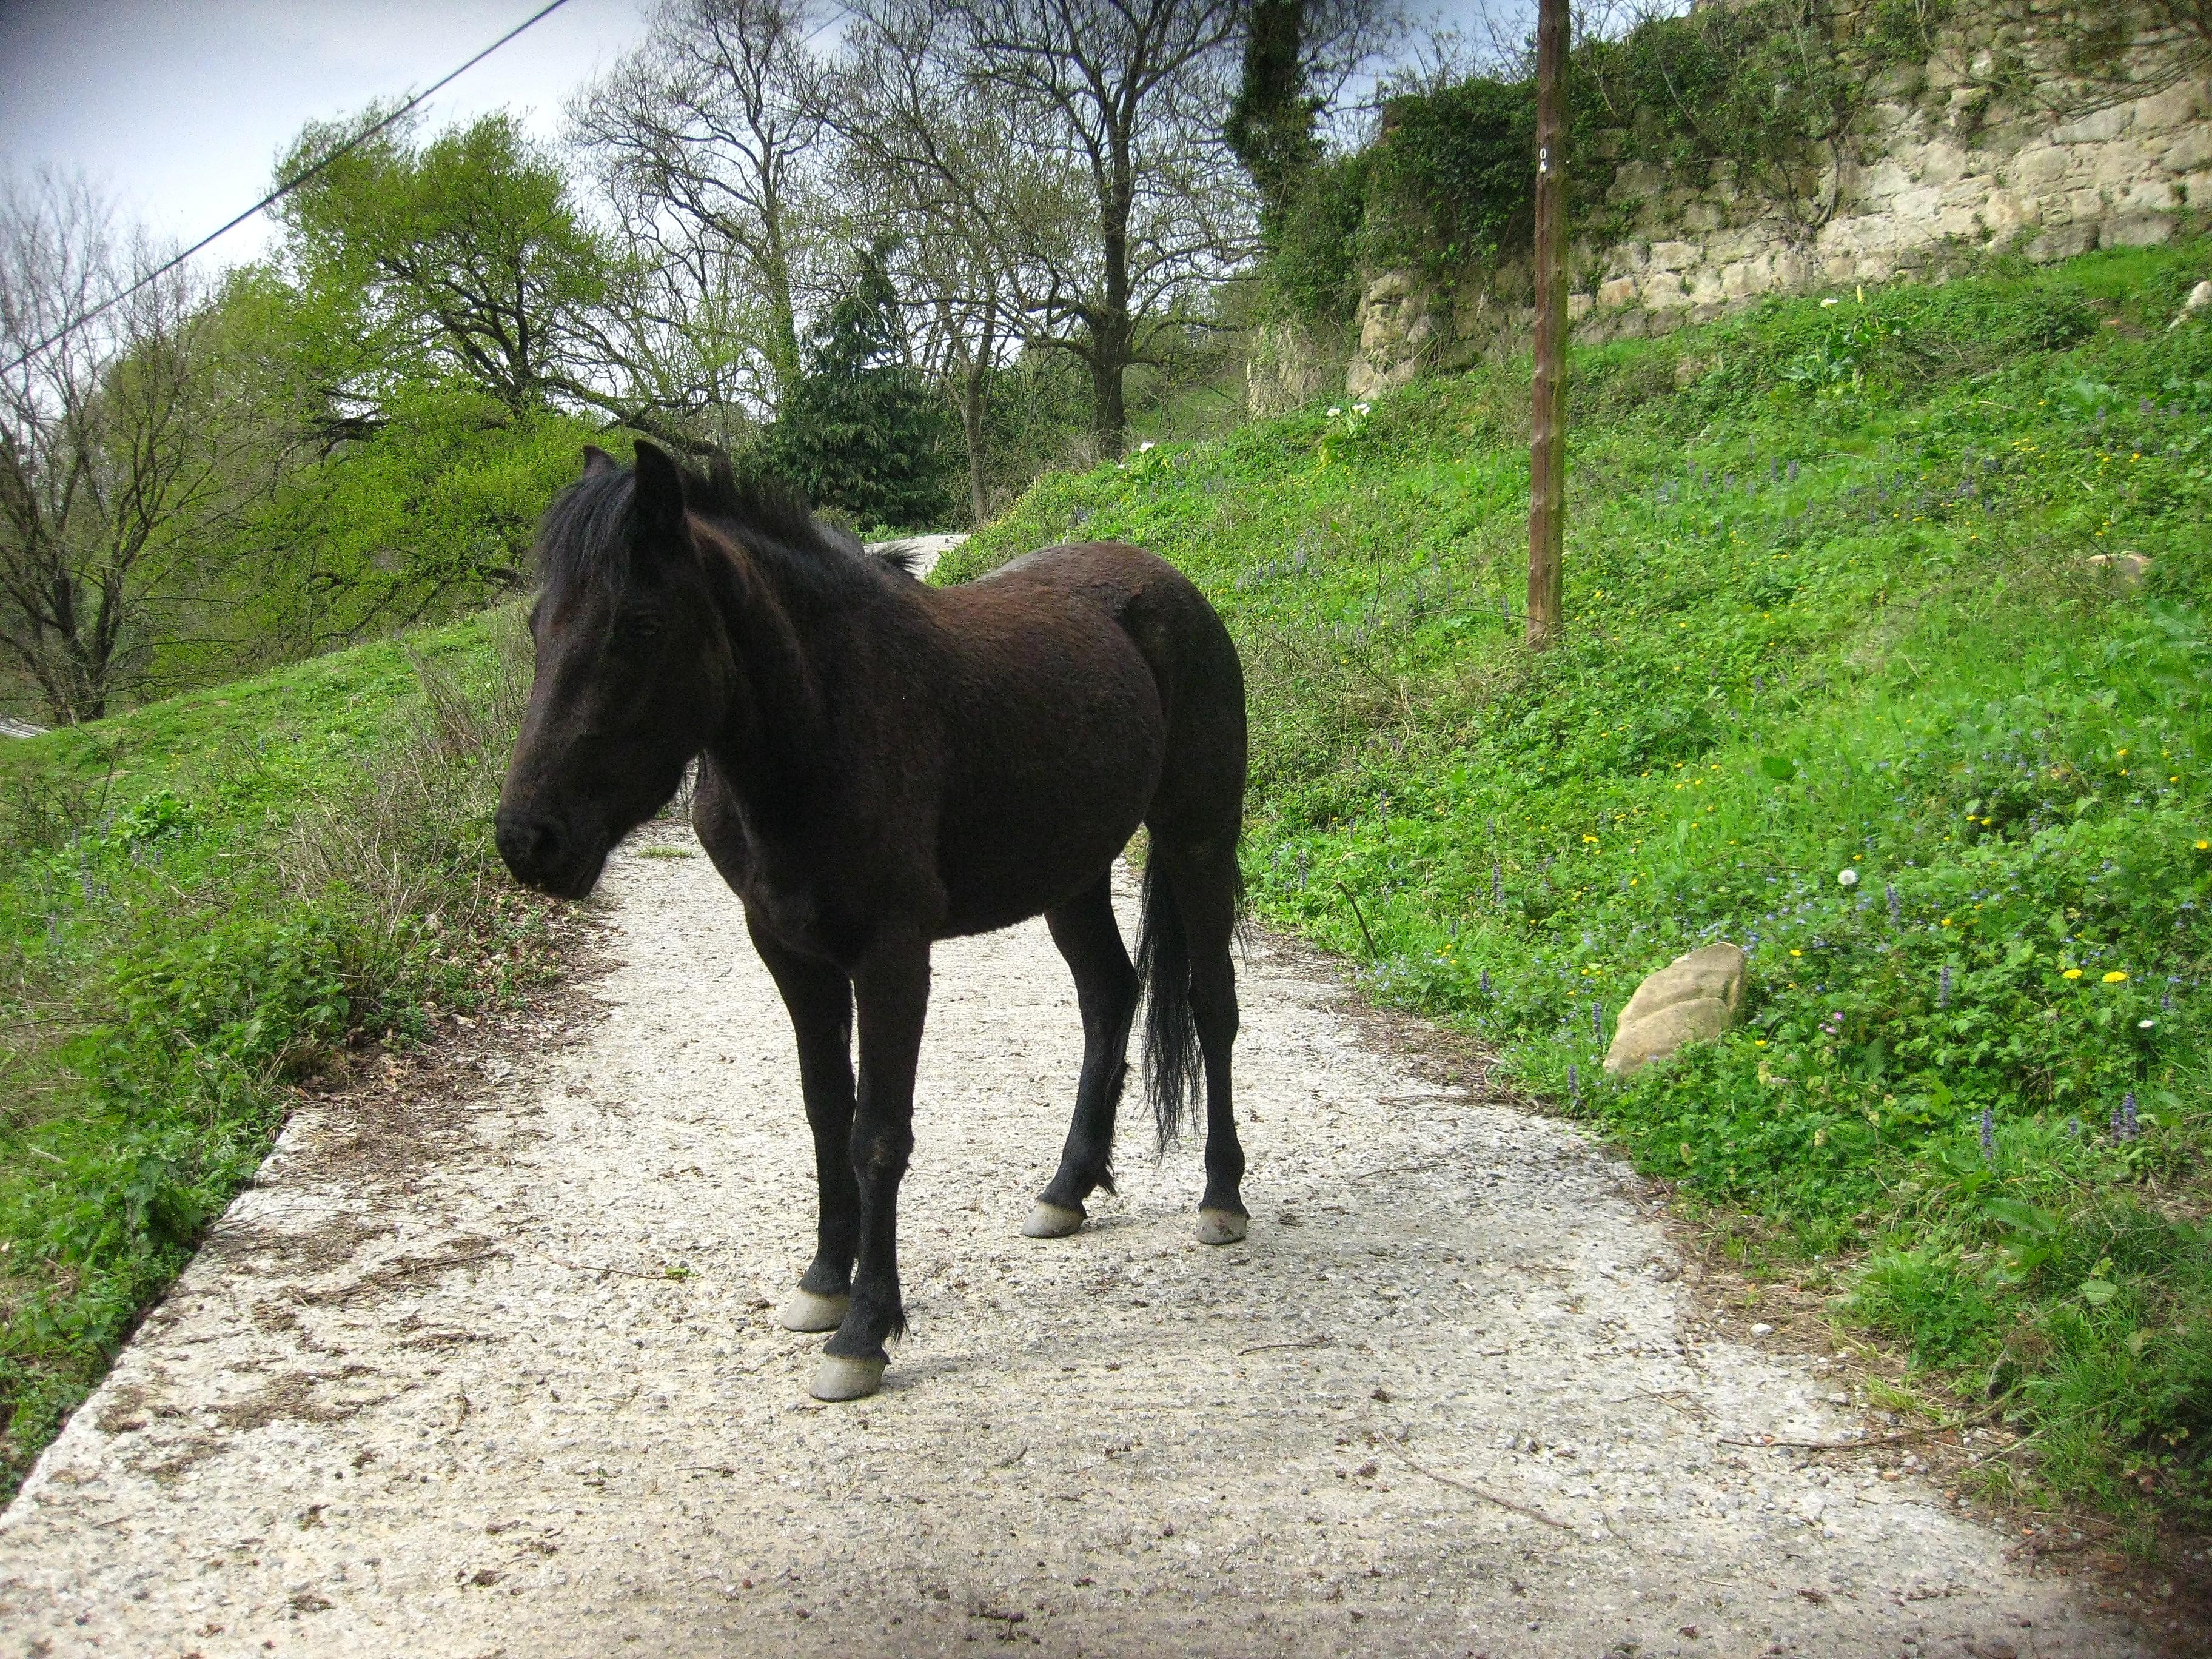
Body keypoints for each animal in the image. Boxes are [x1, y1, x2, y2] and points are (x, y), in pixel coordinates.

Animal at [497, 444, 1247, 1407]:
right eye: (537, 625)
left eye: (640, 625)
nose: (529, 840)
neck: (824, 720)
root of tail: (1170, 585)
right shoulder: (789, 952)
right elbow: (827, 1112)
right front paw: (825, 1280)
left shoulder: (892, 958)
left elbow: (879, 1135)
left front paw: (864, 1330)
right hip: (1072, 873)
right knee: (1110, 998)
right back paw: (1067, 1188)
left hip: (1197, 839)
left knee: (1210, 1006)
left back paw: (1223, 1198)